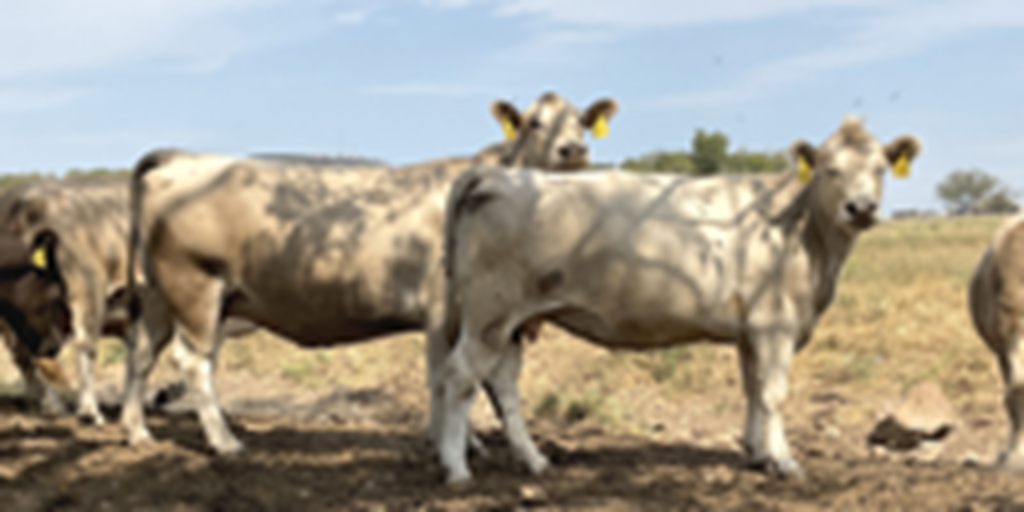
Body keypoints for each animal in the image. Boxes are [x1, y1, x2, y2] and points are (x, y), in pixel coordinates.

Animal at [119, 92, 614, 452]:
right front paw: (454, 442)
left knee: (141, 351)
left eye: (581, 120)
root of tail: (185, 158)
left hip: (162, 293)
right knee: (192, 361)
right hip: (195, 288)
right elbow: (446, 376)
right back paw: (224, 442)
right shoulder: (444, 309)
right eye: (533, 122)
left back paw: (136, 430)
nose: (574, 149)